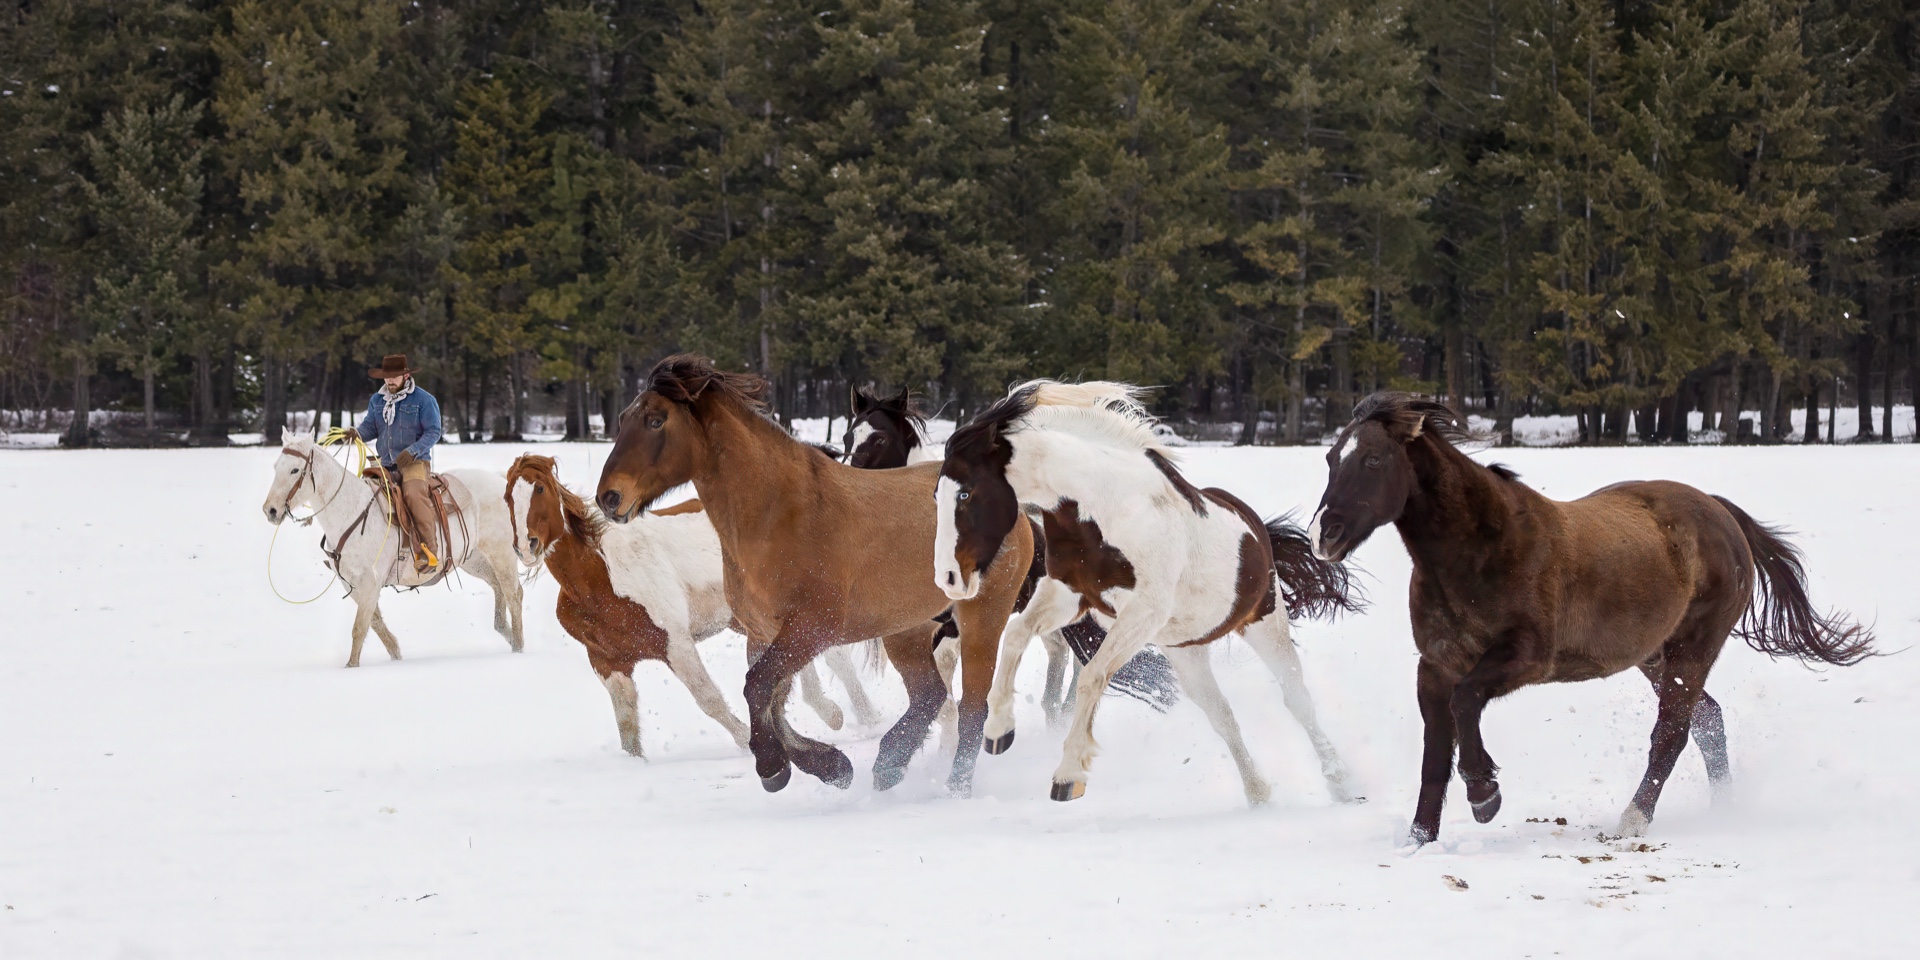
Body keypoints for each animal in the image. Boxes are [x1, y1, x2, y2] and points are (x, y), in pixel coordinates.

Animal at [261, 434, 525, 667]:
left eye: (295, 470)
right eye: (275, 467)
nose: (270, 510)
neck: (351, 511)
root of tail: (500, 482)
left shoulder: (369, 581)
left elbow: (359, 627)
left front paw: (351, 666)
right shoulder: (350, 582)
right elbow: (375, 623)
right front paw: (396, 656)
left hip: (502, 553)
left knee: (514, 594)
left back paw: (519, 647)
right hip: (473, 559)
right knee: (497, 586)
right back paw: (506, 631)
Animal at [503, 455, 879, 758]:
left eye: (540, 489)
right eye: (507, 497)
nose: (526, 546)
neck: (600, 575)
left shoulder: (677, 645)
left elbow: (709, 700)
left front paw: (748, 742)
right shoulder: (608, 664)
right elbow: (626, 724)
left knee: (834, 656)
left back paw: (859, 716)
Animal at [596, 356, 1034, 795]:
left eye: (656, 420)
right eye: (622, 418)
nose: (609, 498)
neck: (777, 513)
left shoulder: (811, 628)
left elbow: (758, 686)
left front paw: (774, 767)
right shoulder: (763, 631)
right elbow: (771, 698)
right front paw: (829, 766)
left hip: (982, 618)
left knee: (972, 706)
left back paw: (954, 786)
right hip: (906, 629)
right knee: (929, 695)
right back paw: (888, 767)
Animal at [935, 381, 1362, 804]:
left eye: (965, 494)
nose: (948, 579)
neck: (1106, 511)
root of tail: (1257, 530)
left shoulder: (1142, 613)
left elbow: (1092, 676)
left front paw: (1068, 776)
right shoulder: (1068, 595)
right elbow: (1016, 635)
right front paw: (999, 731)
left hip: (1264, 624)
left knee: (1297, 700)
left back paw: (1342, 784)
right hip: (1186, 652)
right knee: (1222, 716)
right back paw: (1258, 793)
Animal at [1306, 392, 1874, 844]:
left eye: (1374, 460)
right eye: (1332, 458)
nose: (1324, 536)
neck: (1480, 550)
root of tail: (1719, 512)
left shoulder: (1525, 657)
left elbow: (1465, 705)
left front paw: (1485, 794)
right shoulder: (1435, 666)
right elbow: (1434, 754)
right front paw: (1420, 839)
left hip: (1694, 646)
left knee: (1673, 730)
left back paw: (1634, 819)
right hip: (1654, 655)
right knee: (1708, 720)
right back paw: (1723, 808)